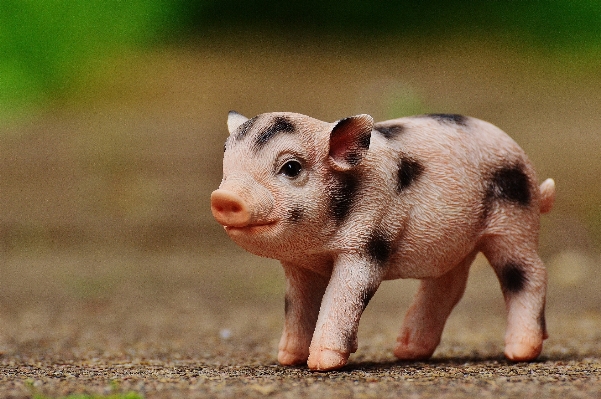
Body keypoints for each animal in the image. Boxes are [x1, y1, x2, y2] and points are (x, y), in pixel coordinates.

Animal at [210, 110, 552, 372]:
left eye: (291, 167)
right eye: (227, 164)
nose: (224, 197)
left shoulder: (367, 243)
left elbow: (343, 295)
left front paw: (322, 364)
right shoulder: (299, 265)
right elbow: (296, 305)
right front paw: (288, 360)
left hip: (514, 221)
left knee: (529, 273)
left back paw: (519, 353)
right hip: (457, 243)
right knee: (449, 283)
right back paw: (407, 352)